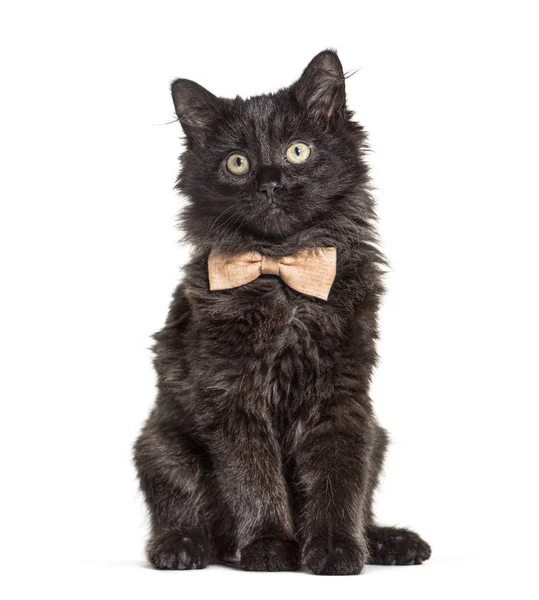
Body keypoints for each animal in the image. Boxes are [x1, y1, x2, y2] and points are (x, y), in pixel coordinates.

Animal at [136, 49, 434, 576]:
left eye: (298, 151)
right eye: (237, 163)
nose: (270, 183)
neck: (283, 277)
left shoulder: (342, 393)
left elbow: (340, 481)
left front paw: (336, 549)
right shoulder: (232, 392)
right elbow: (254, 476)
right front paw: (270, 545)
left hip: (377, 436)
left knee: (365, 504)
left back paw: (387, 541)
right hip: (160, 445)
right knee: (181, 509)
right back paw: (182, 546)